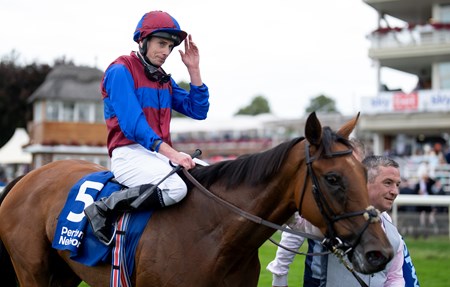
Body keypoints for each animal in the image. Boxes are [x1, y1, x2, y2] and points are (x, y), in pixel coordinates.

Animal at [0, 113, 394, 287]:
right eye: (333, 179)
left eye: (364, 175)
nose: (381, 253)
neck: (214, 237)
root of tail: (27, 176)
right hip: (32, 271)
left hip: (64, 273)